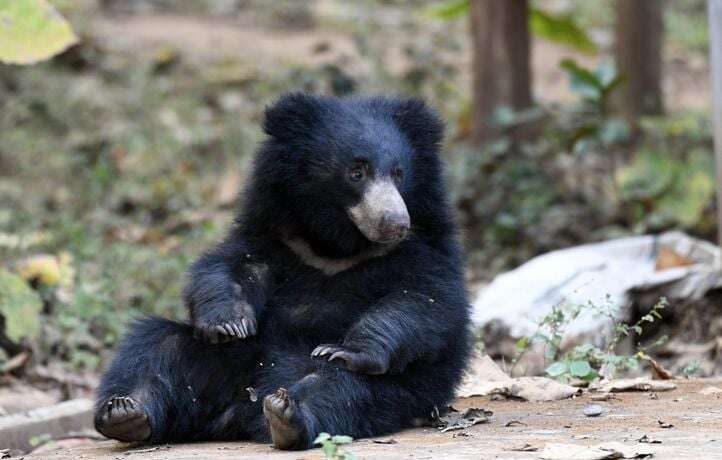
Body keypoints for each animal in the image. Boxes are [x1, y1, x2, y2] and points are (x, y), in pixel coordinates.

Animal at [93, 93, 470, 450]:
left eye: (398, 174)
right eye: (356, 172)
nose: (395, 223)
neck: (336, 243)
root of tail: (237, 412)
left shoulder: (424, 249)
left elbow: (423, 302)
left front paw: (350, 350)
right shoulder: (275, 234)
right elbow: (230, 266)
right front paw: (227, 323)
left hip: (398, 389)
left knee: (340, 385)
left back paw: (286, 413)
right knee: (156, 346)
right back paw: (124, 412)